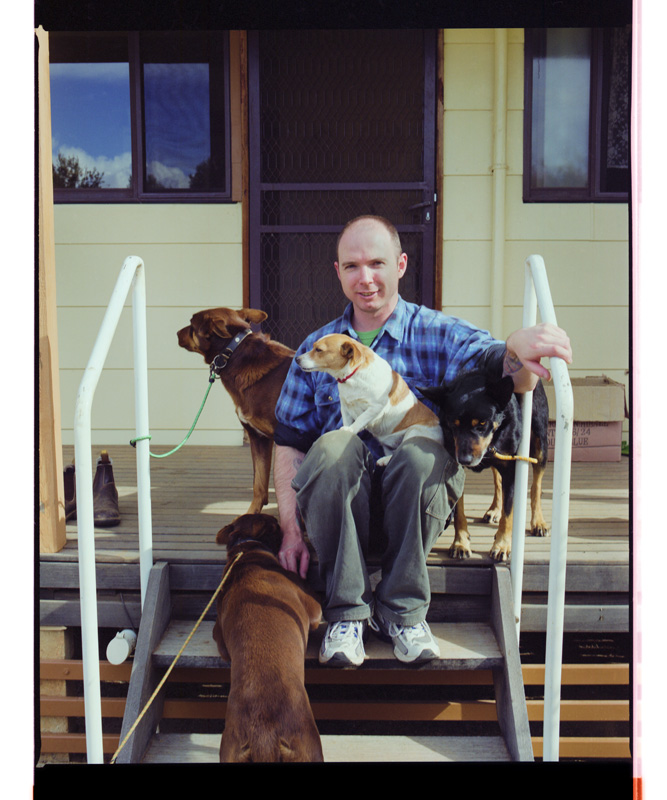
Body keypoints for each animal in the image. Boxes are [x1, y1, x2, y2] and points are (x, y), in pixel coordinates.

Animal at [177, 307, 294, 514]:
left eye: (191, 323)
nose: (176, 333)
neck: (234, 353)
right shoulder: (259, 438)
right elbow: (259, 484)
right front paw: (252, 514)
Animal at [212, 513, 324, 762]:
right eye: (276, 525)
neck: (246, 549)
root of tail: (264, 739)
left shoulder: (219, 635)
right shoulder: (314, 609)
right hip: (310, 748)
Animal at [296, 333, 443, 466]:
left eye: (319, 350)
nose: (296, 359)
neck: (353, 375)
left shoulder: (375, 408)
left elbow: (360, 419)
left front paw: (350, 430)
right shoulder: (345, 407)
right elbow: (347, 420)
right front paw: (347, 429)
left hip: (414, 432)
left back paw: (384, 460)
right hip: (389, 445)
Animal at [420, 371, 549, 562]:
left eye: (482, 423)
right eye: (453, 424)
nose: (464, 459)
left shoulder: (511, 471)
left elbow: (508, 513)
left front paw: (502, 545)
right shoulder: (456, 469)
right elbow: (459, 511)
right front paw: (460, 543)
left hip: (540, 441)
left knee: (536, 485)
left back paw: (538, 522)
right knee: (497, 480)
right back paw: (494, 510)